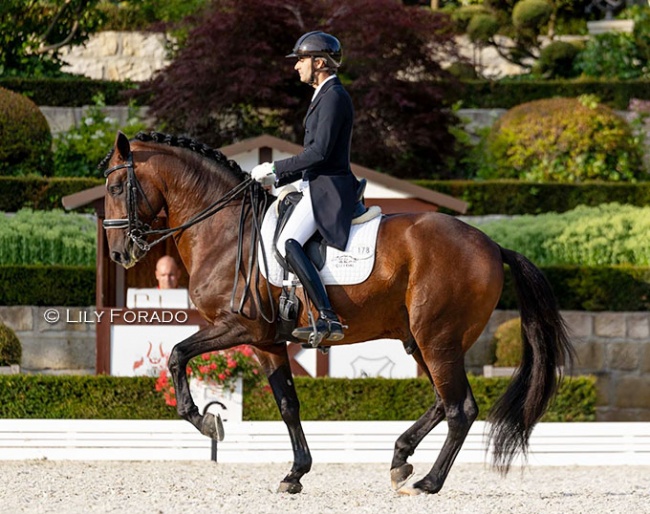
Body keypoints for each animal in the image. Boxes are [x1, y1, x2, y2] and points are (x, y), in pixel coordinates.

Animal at [101, 130, 572, 494]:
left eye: (115, 189)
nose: (120, 253)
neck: (225, 231)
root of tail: (490, 244)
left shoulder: (237, 327)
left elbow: (177, 354)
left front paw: (206, 422)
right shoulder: (267, 342)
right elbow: (287, 404)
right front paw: (295, 474)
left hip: (437, 338)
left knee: (461, 408)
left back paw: (428, 483)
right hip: (422, 340)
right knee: (445, 401)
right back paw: (401, 458)